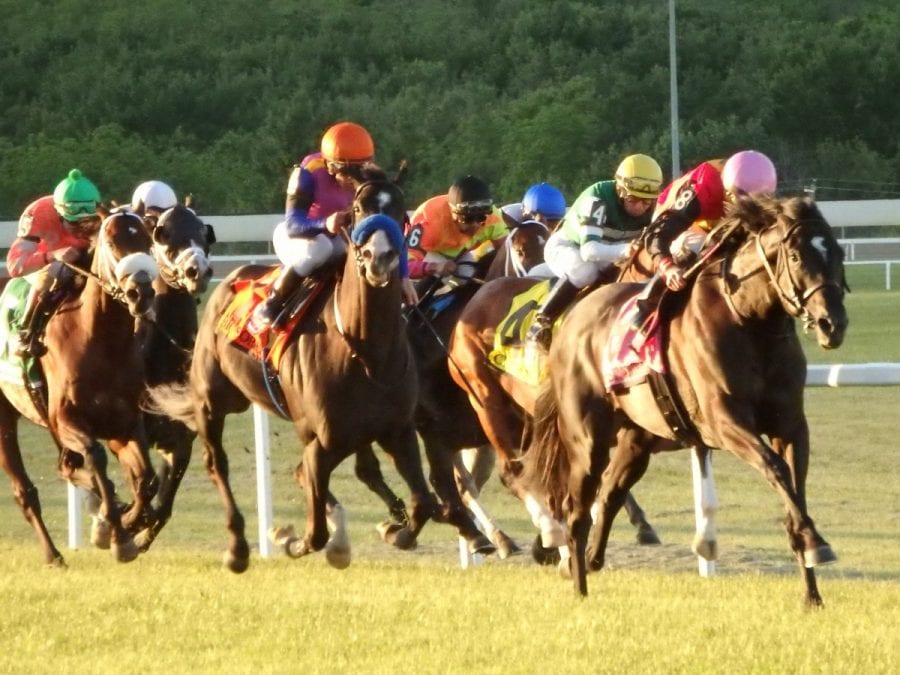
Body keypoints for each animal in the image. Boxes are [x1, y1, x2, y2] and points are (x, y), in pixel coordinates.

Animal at [0, 210, 158, 564]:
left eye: (148, 239)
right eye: (111, 241)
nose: (141, 292)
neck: (100, 339)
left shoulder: (124, 423)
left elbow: (146, 481)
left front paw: (126, 521)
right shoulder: (66, 419)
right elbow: (96, 459)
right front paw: (117, 533)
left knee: (66, 467)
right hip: (4, 421)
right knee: (25, 490)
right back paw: (52, 554)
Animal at [524, 195, 848, 608]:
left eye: (837, 252)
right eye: (794, 256)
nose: (832, 324)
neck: (750, 322)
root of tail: (570, 320)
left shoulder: (790, 424)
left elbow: (794, 488)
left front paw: (811, 586)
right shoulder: (724, 421)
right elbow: (775, 468)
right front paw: (816, 544)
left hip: (638, 437)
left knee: (610, 490)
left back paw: (593, 560)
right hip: (587, 437)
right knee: (577, 508)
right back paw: (579, 585)